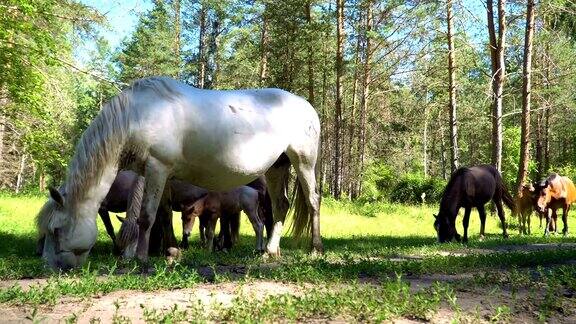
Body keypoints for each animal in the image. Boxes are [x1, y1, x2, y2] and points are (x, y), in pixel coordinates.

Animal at [36, 77, 324, 270]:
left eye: (57, 230)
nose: (49, 267)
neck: (137, 114)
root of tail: (307, 106)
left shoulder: (157, 167)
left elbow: (146, 216)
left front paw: (141, 258)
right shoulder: (159, 175)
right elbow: (162, 215)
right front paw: (169, 250)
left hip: (304, 162)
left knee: (313, 201)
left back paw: (315, 249)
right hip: (278, 166)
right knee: (281, 206)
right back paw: (271, 251)